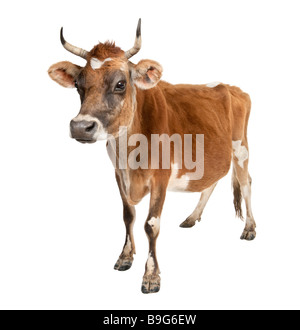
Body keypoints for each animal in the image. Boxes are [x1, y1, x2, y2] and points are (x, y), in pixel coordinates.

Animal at [48, 18, 255, 294]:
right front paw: (125, 256)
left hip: (241, 148)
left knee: (245, 182)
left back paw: (250, 228)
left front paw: (151, 275)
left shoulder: (161, 178)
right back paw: (192, 217)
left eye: (121, 84)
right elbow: (128, 216)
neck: (129, 152)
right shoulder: (118, 173)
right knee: (211, 182)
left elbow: (151, 224)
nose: (81, 126)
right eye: (78, 85)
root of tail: (231, 87)